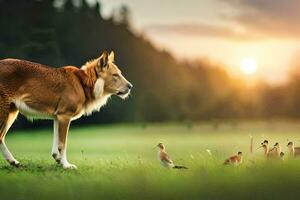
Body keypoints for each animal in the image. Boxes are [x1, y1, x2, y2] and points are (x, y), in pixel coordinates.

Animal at [0, 51, 132, 169]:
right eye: (115, 75)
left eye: (119, 74)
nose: (131, 86)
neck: (82, 83)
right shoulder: (65, 116)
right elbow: (62, 145)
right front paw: (66, 165)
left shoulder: (57, 117)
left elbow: (56, 145)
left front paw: (58, 160)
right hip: (5, 113)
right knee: (0, 137)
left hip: (12, 112)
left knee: (1, 138)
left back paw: (14, 162)